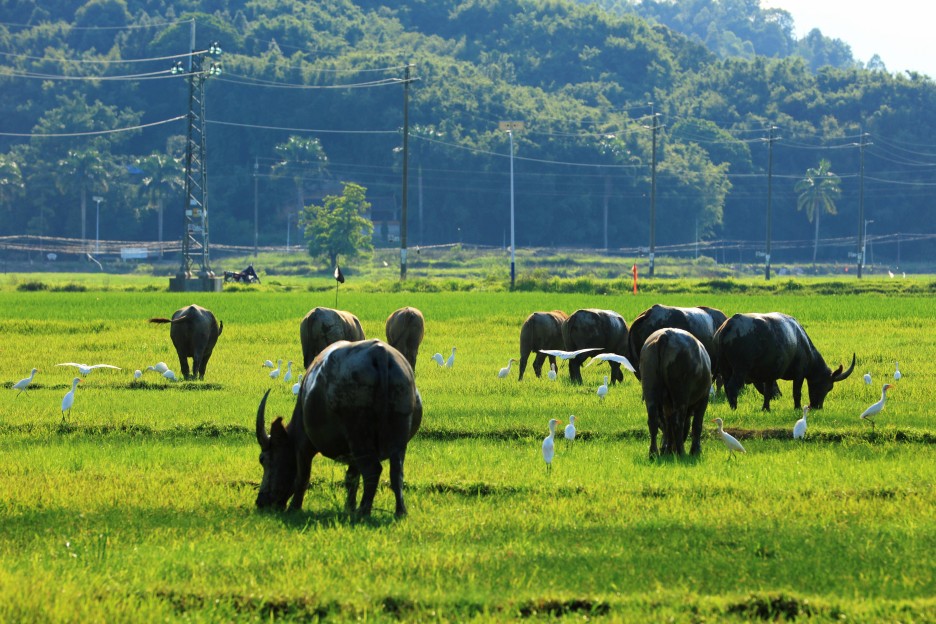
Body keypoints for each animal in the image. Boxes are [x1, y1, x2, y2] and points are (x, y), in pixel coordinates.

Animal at [252, 342, 420, 516]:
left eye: (263, 459)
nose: (260, 501)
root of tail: (380, 353)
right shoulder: (352, 455)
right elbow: (351, 478)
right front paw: (349, 507)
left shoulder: (303, 445)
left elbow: (302, 476)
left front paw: (294, 508)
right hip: (396, 434)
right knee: (396, 472)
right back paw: (399, 511)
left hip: (358, 435)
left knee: (373, 470)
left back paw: (364, 511)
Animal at [640, 326, 712, 458]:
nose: (667, 449)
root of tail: (666, 335)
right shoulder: (704, 399)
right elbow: (697, 424)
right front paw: (695, 450)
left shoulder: (666, 405)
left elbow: (667, 425)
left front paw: (667, 449)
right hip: (681, 394)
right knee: (678, 422)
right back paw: (681, 452)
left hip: (649, 388)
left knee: (653, 420)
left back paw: (654, 453)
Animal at [712, 312, 852, 410]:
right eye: (828, 387)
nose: (817, 406)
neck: (802, 343)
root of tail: (727, 326)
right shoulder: (799, 374)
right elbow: (797, 392)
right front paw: (797, 407)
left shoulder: (769, 376)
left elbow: (768, 391)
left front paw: (766, 408)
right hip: (740, 369)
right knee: (732, 386)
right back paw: (734, 408)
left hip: (725, 368)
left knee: (726, 385)